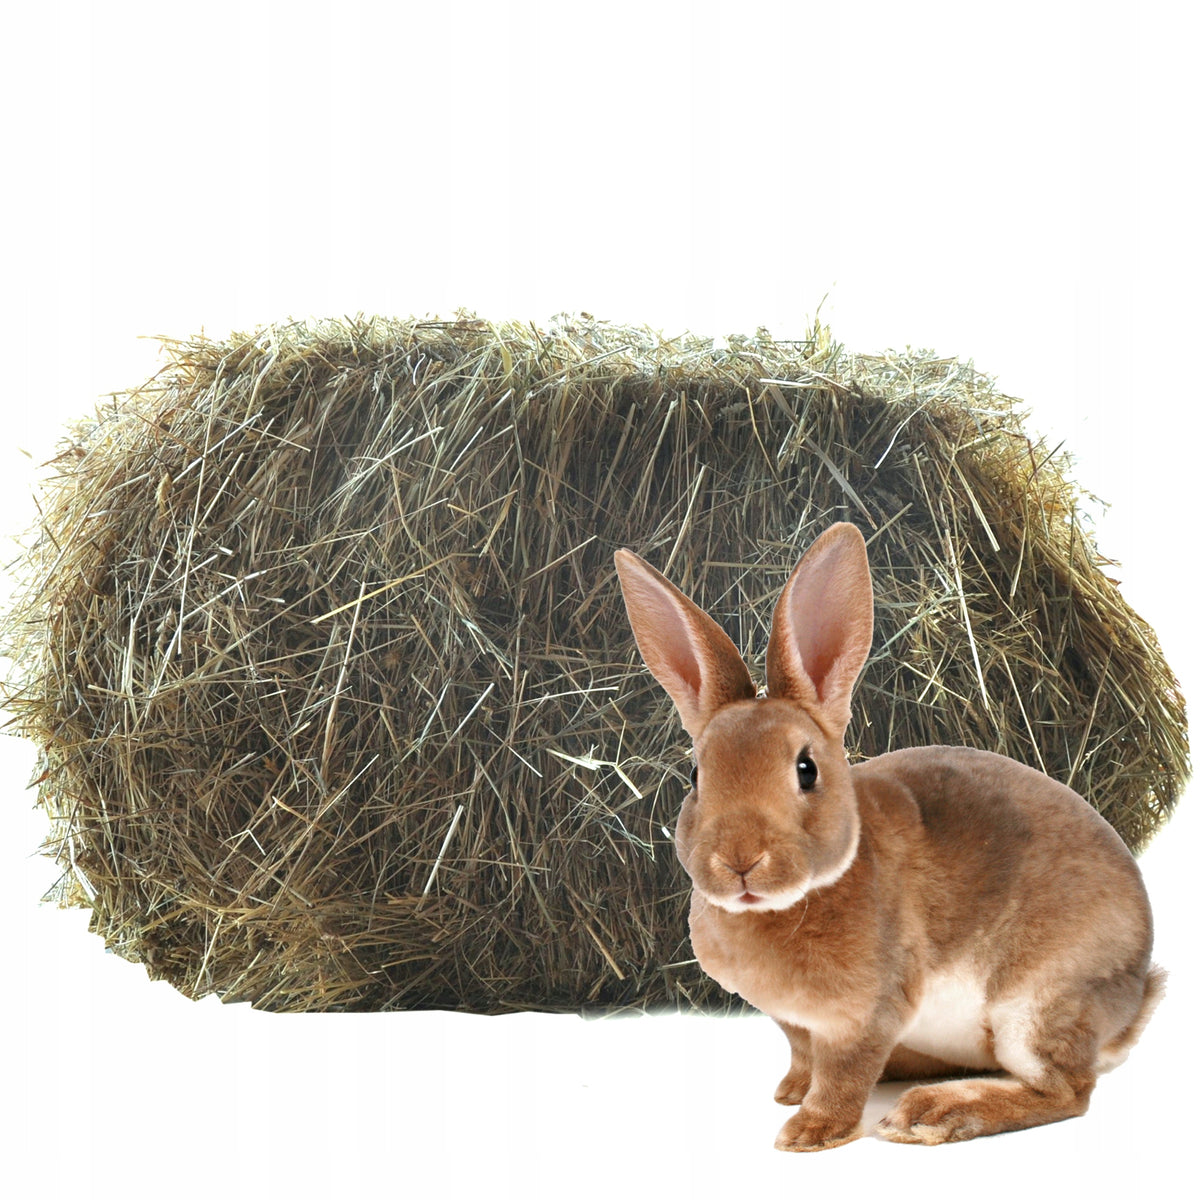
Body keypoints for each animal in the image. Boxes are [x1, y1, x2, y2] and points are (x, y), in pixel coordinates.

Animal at [614, 523, 1164, 1151]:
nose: (740, 861)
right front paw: (791, 1093)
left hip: (1039, 1004)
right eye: (695, 776)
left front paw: (809, 1131)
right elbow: (805, 1056)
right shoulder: (797, 1024)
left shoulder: (868, 1014)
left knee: (1065, 1091)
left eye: (807, 769)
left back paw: (931, 1112)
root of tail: (1132, 1001)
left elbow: (845, 1073)